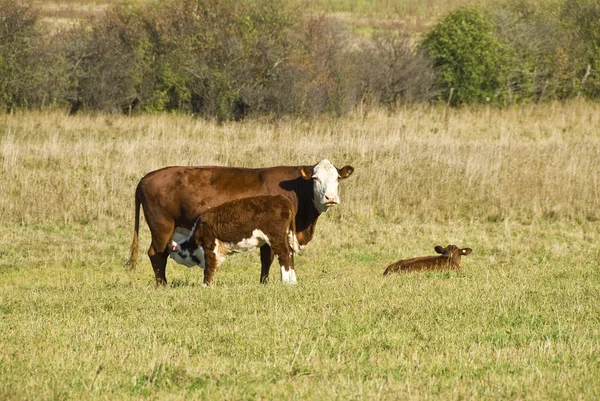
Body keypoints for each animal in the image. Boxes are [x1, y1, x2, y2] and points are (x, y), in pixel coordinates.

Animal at [125, 158, 352, 286]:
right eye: (315, 178)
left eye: (338, 178)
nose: (330, 197)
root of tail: (147, 177)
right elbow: (273, 257)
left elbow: (271, 259)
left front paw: (264, 283)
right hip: (162, 227)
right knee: (157, 254)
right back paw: (162, 284)